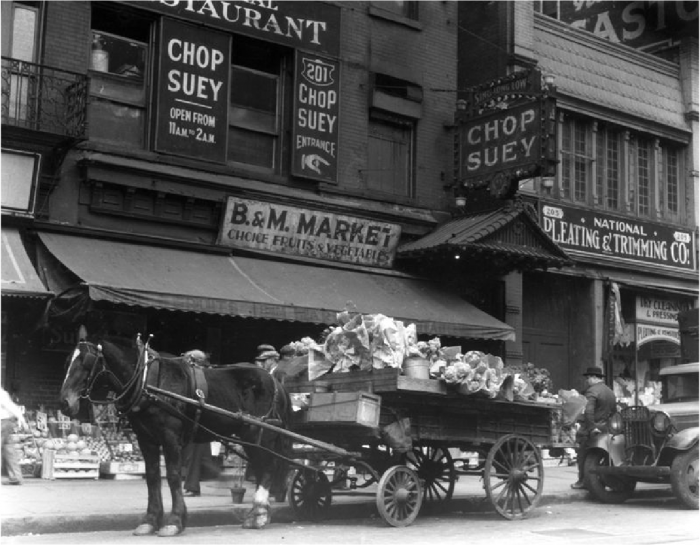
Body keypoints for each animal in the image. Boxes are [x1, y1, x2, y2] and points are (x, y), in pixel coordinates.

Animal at [57, 332, 292, 536]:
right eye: (68, 361)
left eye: (86, 362)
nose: (64, 402)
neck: (148, 382)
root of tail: (275, 381)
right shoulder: (146, 439)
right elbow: (153, 477)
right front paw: (150, 521)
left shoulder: (170, 438)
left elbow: (173, 476)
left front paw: (175, 521)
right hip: (251, 438)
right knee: (262, 466)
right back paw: (258, 512)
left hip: (260, 434)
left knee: (268, 467)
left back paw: (259, 513)